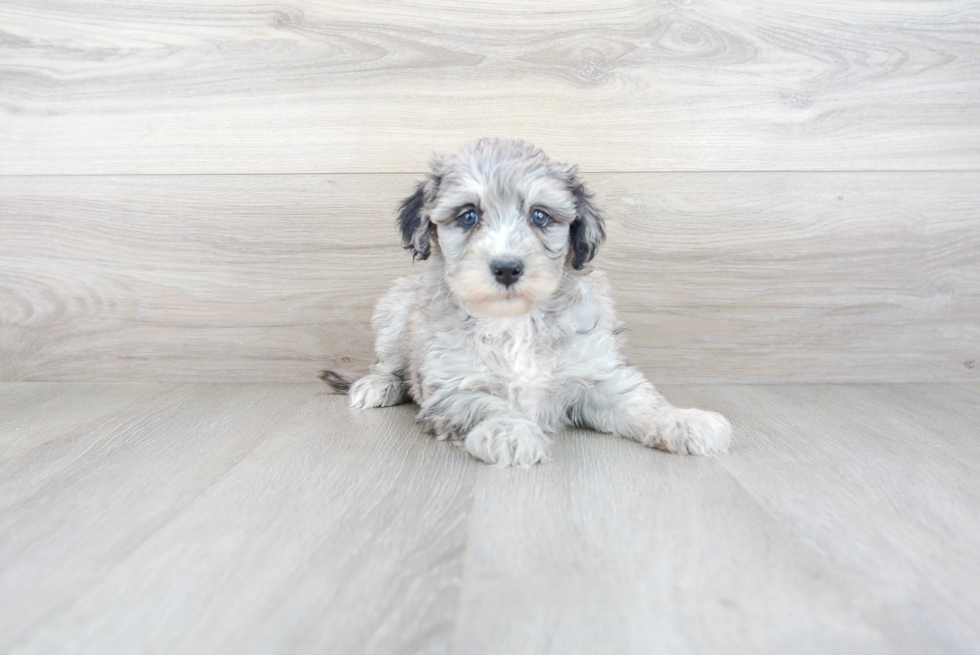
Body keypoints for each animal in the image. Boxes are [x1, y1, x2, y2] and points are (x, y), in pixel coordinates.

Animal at [326, 138, 732, 466]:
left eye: (539, 215)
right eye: (468, 216)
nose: (507, 268)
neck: (514, 321)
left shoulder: (598, 378)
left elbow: (638, 401)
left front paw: (680, 420)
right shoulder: (456, 387)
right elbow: (486, 407)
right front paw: (509, 432)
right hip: (395, 308)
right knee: (391, 366)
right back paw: (377, 386)